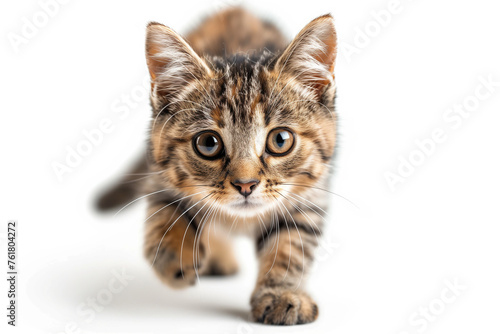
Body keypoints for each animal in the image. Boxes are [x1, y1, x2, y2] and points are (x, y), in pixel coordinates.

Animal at [99, 8, 338, 326]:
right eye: (208, 143)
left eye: (280, 139)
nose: (245, 184)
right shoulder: (160, 172)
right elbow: (167, 215)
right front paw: (177, 257)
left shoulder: (310, 193)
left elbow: (291, 245)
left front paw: (283, 293)